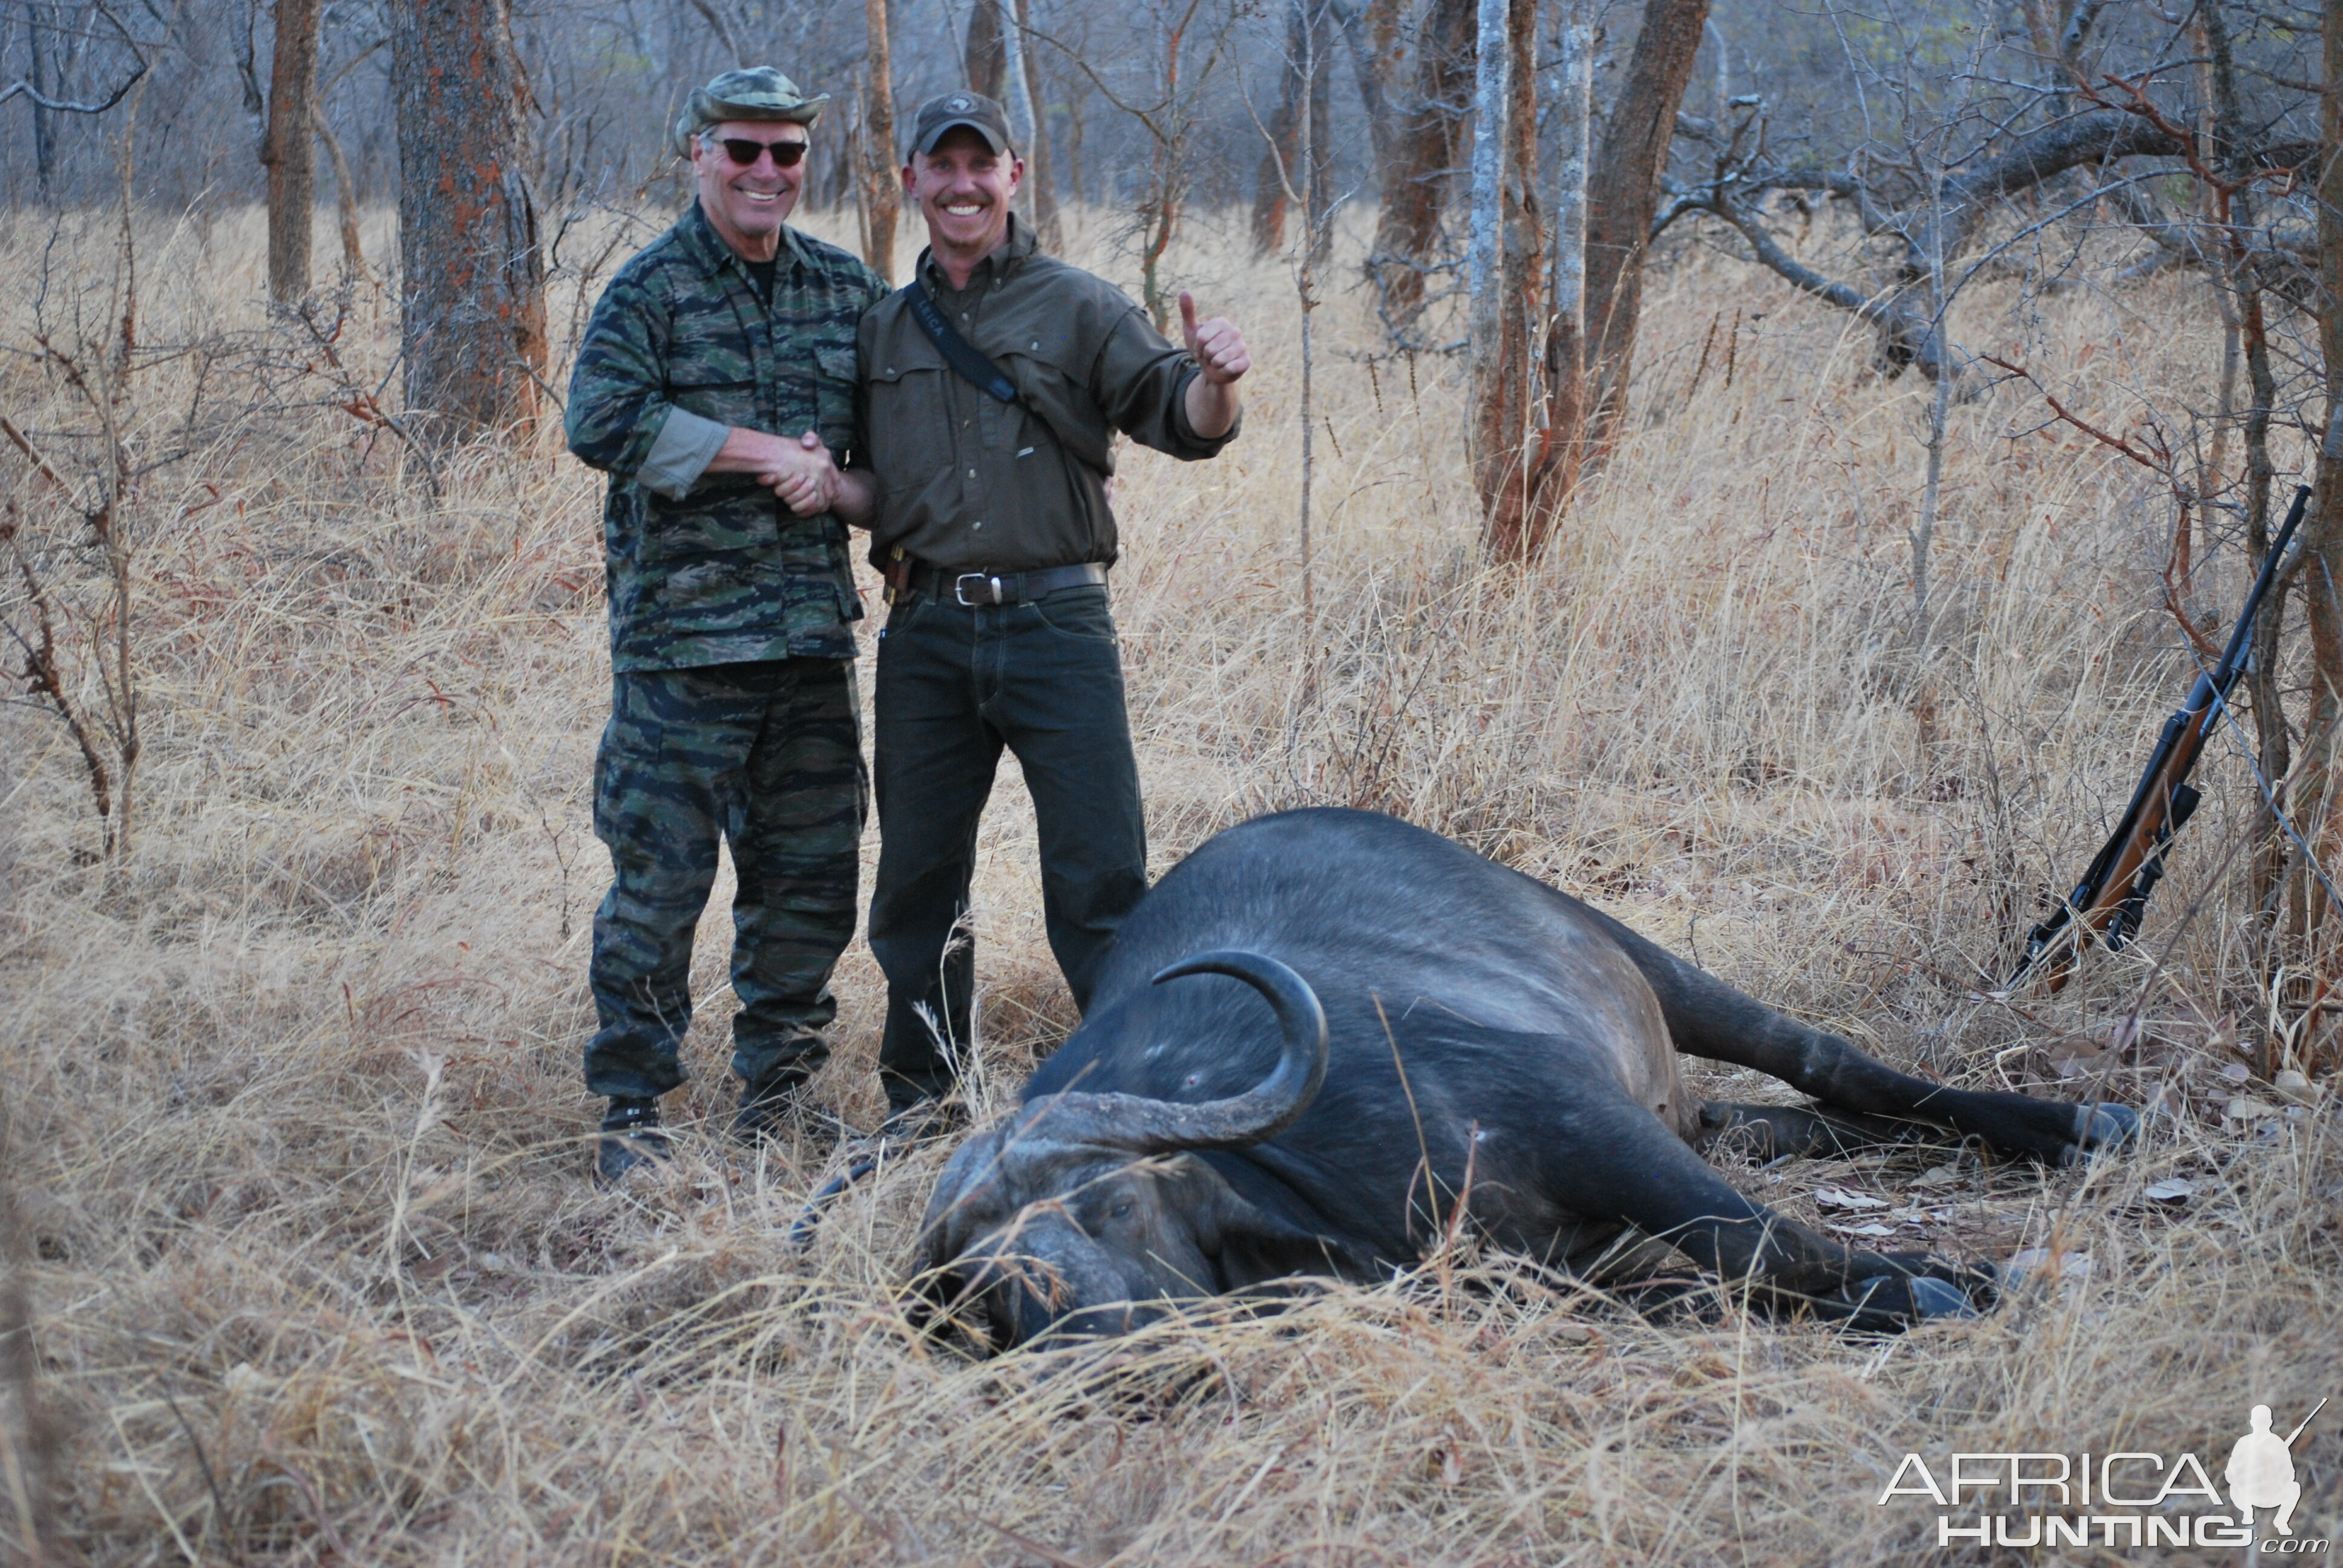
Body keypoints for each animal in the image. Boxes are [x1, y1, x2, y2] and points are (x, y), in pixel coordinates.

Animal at [914, 806, 2146, 1350]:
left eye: (1112, 1204)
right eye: (983, 1284)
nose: (1079, 1342)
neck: (1304, 1176)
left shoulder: (1584, 1126)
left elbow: (1756, 1238)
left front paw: (1946, 1280)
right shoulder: (1580, 1264)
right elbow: (1724, 1269)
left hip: (1648, 965)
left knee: (1827, 1066)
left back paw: (2085, 1121)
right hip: (1685, 1102)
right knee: (1769, 1123)